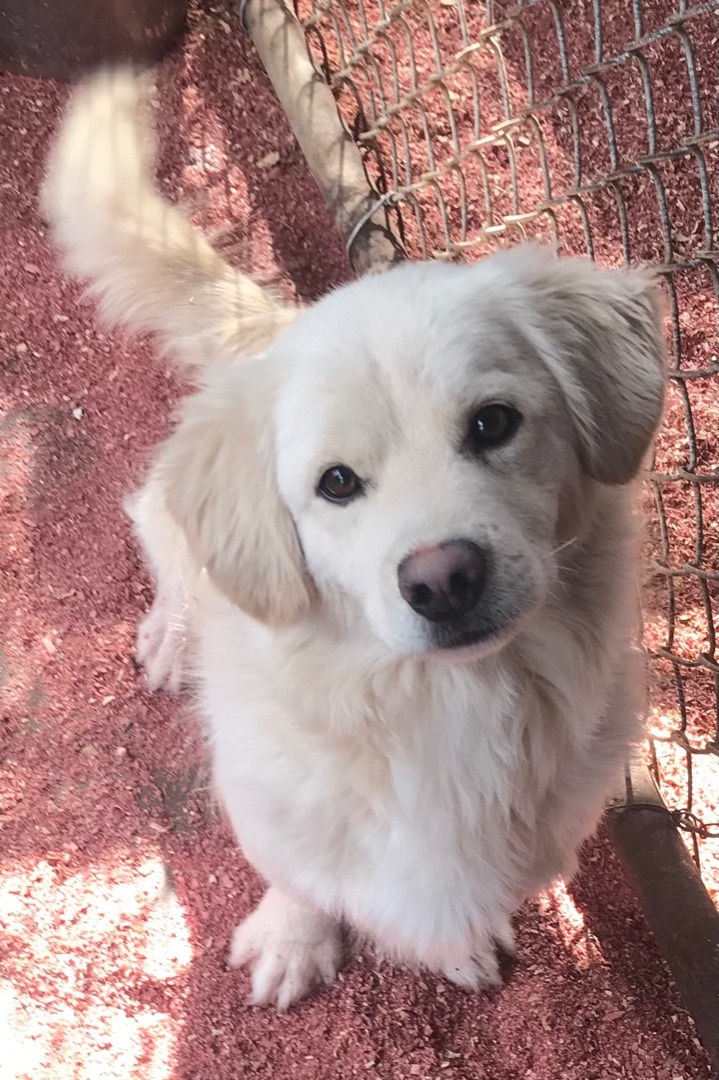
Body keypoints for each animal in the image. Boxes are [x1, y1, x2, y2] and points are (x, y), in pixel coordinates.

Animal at [42, 71, 665, 1006]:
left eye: (492, 423)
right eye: (336, 483)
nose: (443, 579)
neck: (446, 710)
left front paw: (461, 944)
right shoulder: (274, 812)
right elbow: (300, 881)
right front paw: (291, 942)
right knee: (162, 539)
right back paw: (169, 640)